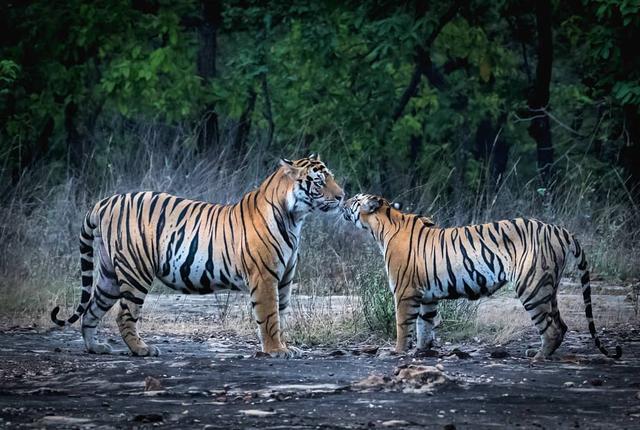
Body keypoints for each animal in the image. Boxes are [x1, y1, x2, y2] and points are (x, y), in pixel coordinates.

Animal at [51, 156, 344, 358]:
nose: (342, 196)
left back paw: (96, 347)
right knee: (124, 315)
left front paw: (284, 347)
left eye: (331, 178)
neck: (295, 218)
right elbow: (270, 317)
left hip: (109, 276)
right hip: (136, 271)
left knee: (91, 309)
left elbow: (280, 315)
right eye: (320, 181)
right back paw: (143, 350)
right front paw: (276, 350)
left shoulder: (284, 279)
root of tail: (105, 202)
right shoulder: (265, 277)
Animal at [342, 192, 624, 360]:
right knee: (561, 325)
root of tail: (560, 230)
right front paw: (422, 351)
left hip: (531, 286)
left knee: (552, 327)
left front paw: (398, 352)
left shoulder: (404, 292)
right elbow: (425, 324)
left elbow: (403, 325)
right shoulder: (427, 296)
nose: (343, 200)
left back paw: (538, 357)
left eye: (354, 200)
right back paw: (539, 352)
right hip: (548, 286)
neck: (382, 225)